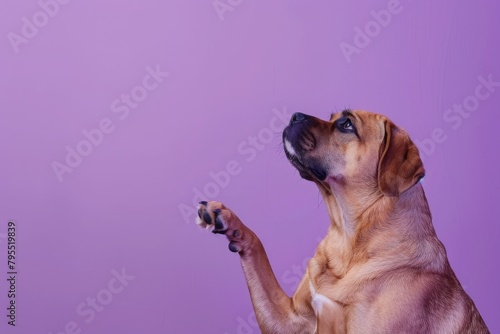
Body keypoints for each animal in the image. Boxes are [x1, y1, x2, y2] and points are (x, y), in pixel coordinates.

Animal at [195, 110, 488, 334]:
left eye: (346, 124)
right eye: (332, 118)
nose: (294, 116)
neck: (350, 239)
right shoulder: (291, 319)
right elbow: (258, 253)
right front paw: (227, 219)